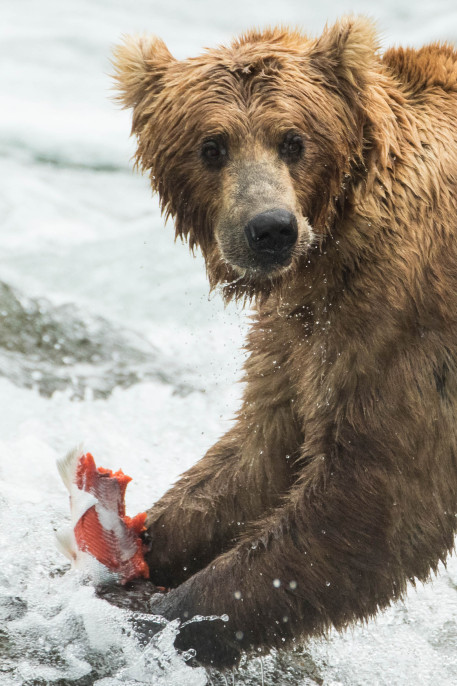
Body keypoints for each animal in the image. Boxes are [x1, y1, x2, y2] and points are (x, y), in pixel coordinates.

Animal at [109, 17, 456, 672]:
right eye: (212, 145)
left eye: (293, 140)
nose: (269, 228)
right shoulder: (300, 329)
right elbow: (262, 452)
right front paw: (135, 541)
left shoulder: (402, 313)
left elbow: (381, 499)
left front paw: (164, 614)